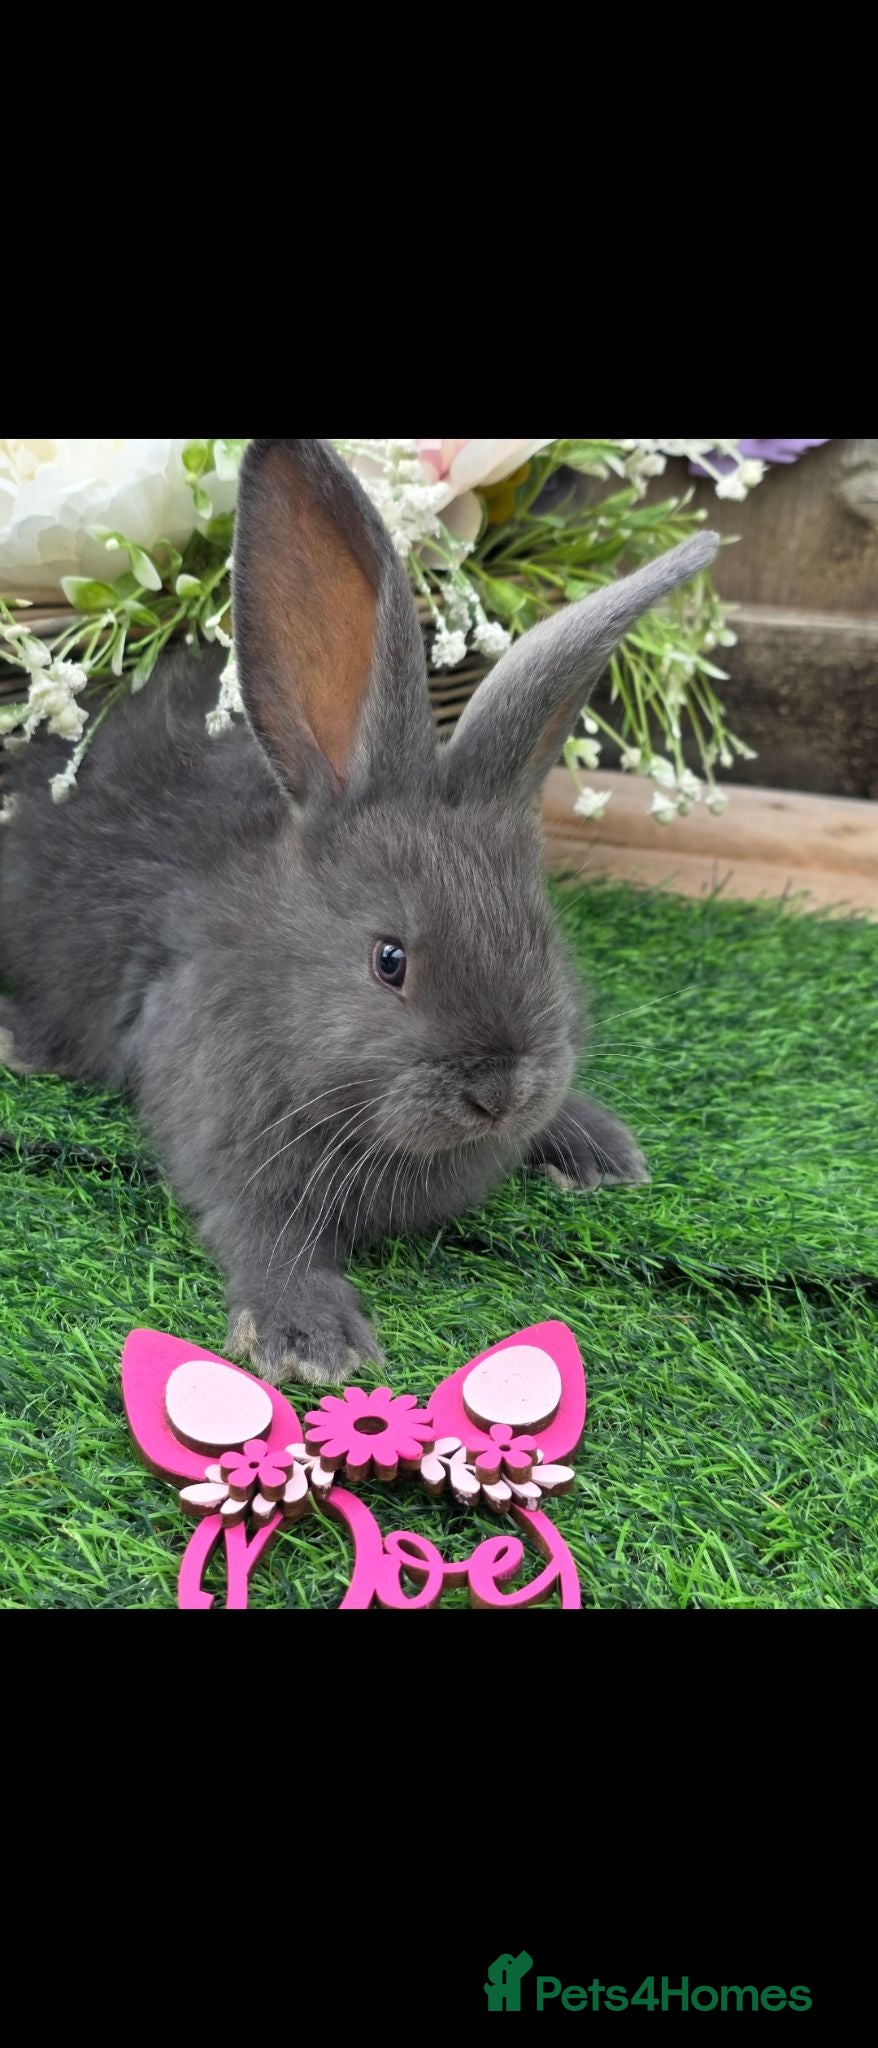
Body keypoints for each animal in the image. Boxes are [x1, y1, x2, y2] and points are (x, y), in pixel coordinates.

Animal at [0, 439, 718, 1385]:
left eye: (543, 938)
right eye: (389, 961)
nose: (499, 1095)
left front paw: (600, 1146)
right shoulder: (227, 1152)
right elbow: (263, 1234)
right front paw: (311, 1342)